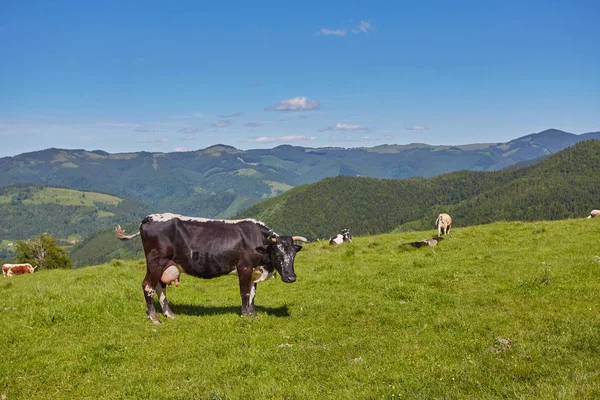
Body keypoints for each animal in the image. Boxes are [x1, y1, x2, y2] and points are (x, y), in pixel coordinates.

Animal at [115, 214, 308, 324]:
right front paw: (245, 315)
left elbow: (253, 293)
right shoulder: (244, 267)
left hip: (166, 265)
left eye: (293, 254)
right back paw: (154, 318)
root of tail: (149, 217)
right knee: (147, 285)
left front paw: (253, 314)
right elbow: (245, 292)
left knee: (159, 287)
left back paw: (169, 314)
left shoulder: (254, 270)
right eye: (277, 253)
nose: (291, 277)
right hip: (156, 261)